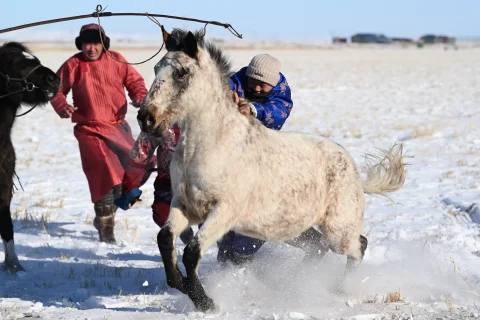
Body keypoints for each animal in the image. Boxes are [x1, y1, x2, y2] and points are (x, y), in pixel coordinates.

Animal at [137, 28, 406, 312]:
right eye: (156, 68)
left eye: (181, 73)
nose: (146, 118)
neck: (207, 147)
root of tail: (353, 168)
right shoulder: (183, 206)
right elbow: (165, 240)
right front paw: (182, 285)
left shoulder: (223, 212)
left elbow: (191, 252)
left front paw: (205, 301)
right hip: (293, 229)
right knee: (320, 246)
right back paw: (297, 285)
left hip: (338, 229)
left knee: (358, 246)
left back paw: (338, 289)